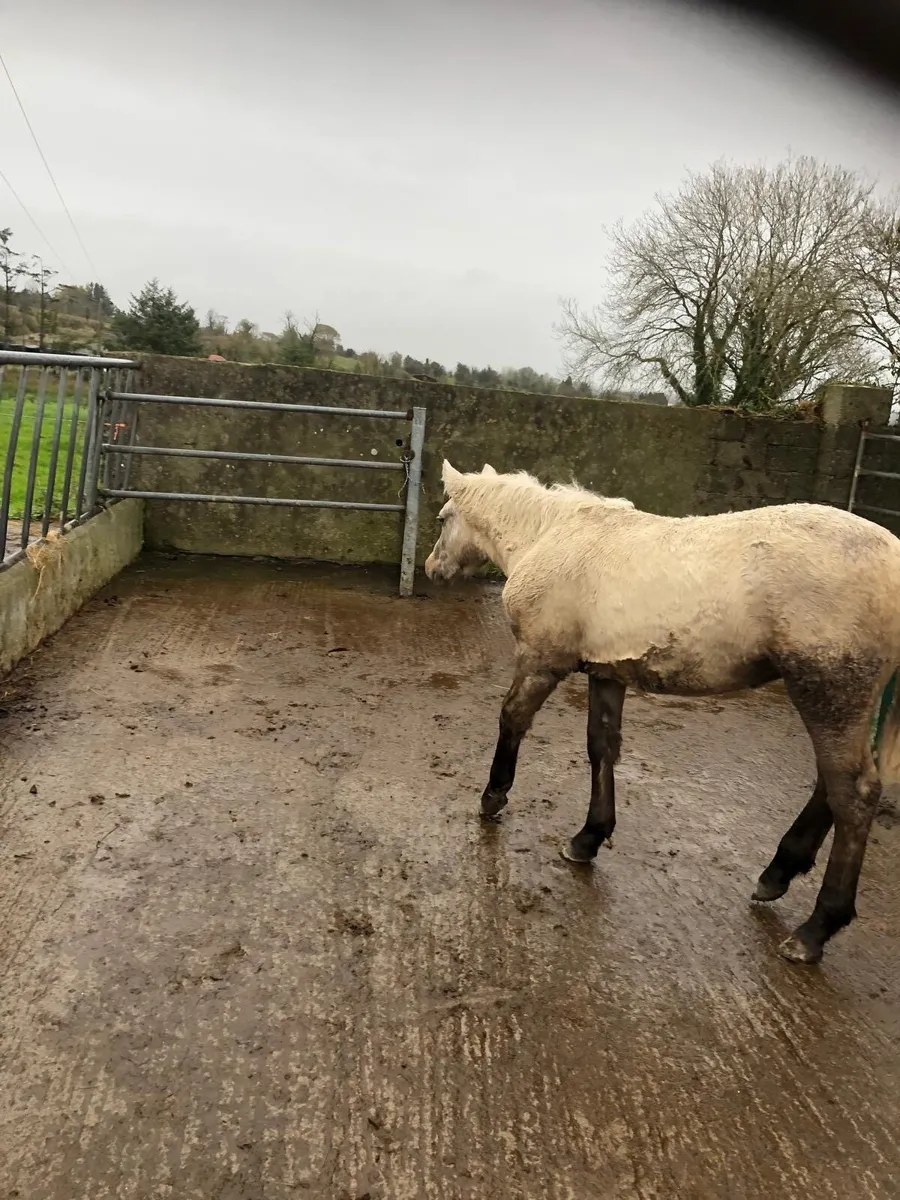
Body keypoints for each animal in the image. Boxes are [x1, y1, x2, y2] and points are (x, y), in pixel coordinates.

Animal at [424, 461, 900, 965]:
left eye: (442, 518)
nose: (432, 567)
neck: (550, 534)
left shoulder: (540, 660)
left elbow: (512, 718)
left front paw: (493, 797)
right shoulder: (606, 673)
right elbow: (601, 747)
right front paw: (588, 838)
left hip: (829, 694)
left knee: (853, 792)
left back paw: (816, 928)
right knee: (830, 784)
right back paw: (777, 874)